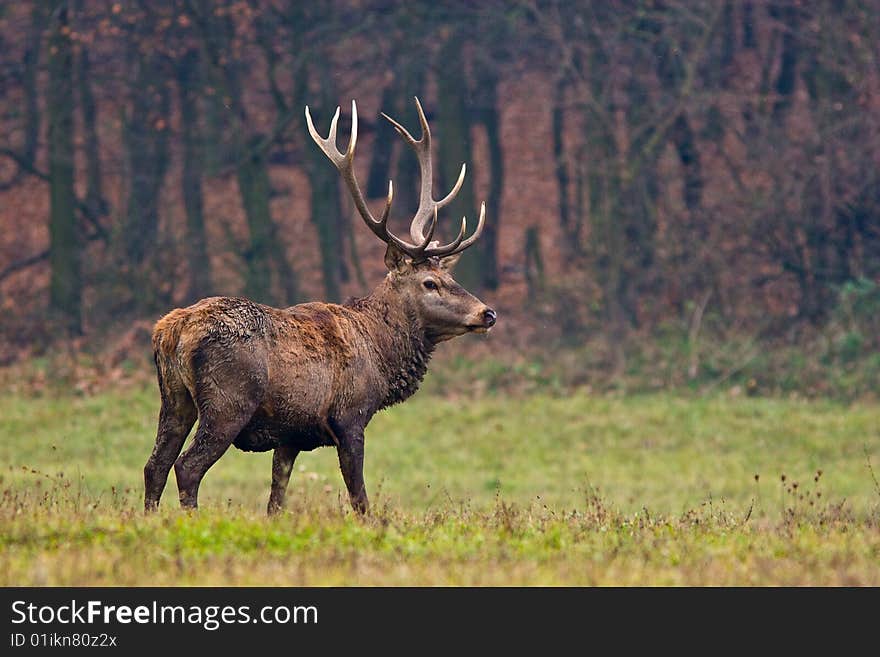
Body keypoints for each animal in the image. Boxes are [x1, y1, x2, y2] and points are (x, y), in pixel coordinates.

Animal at [141, 98, 492, 516]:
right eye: (430, 283)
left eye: (448, 276)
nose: (487, 313)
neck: (380, 356)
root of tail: (171, 331)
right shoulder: (349, 417)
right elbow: (360, 498)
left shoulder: (291, 435)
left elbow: (276, 500)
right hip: (228, 401)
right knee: (187, 467)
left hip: (174, 398)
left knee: (155, 465)